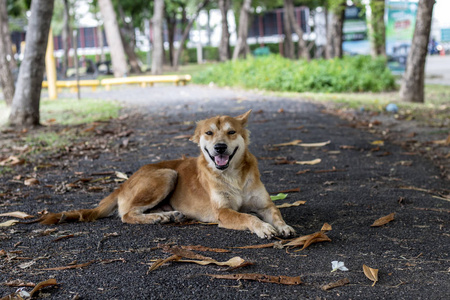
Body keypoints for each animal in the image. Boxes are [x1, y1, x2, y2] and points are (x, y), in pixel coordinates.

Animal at [41, 110, 296, 239]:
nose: (220, 147)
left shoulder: (264, 205)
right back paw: (157, 218)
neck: (232, 175)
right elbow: (247, 217)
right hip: (167, 174)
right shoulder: (223, 213)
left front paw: (282, 226)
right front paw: (262, 227)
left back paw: (168, 215)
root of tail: (124, 183)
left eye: (231, 132)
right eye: (209, 133)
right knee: (127, 214)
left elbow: (275, 212)